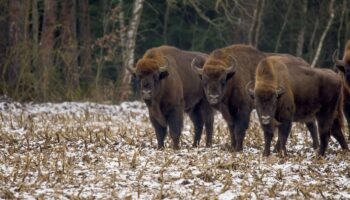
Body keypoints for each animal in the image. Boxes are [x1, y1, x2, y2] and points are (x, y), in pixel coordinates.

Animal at [190, 44, 318, 152]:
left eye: (223, 80)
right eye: (204, 80)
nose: (213, 97)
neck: (233, 77)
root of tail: (307, 65)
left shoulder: (243, 109)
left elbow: (240, 129)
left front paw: (238, 149)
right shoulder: (228, 112)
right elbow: (231, 128)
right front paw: (232, 147)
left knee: (308, 123)